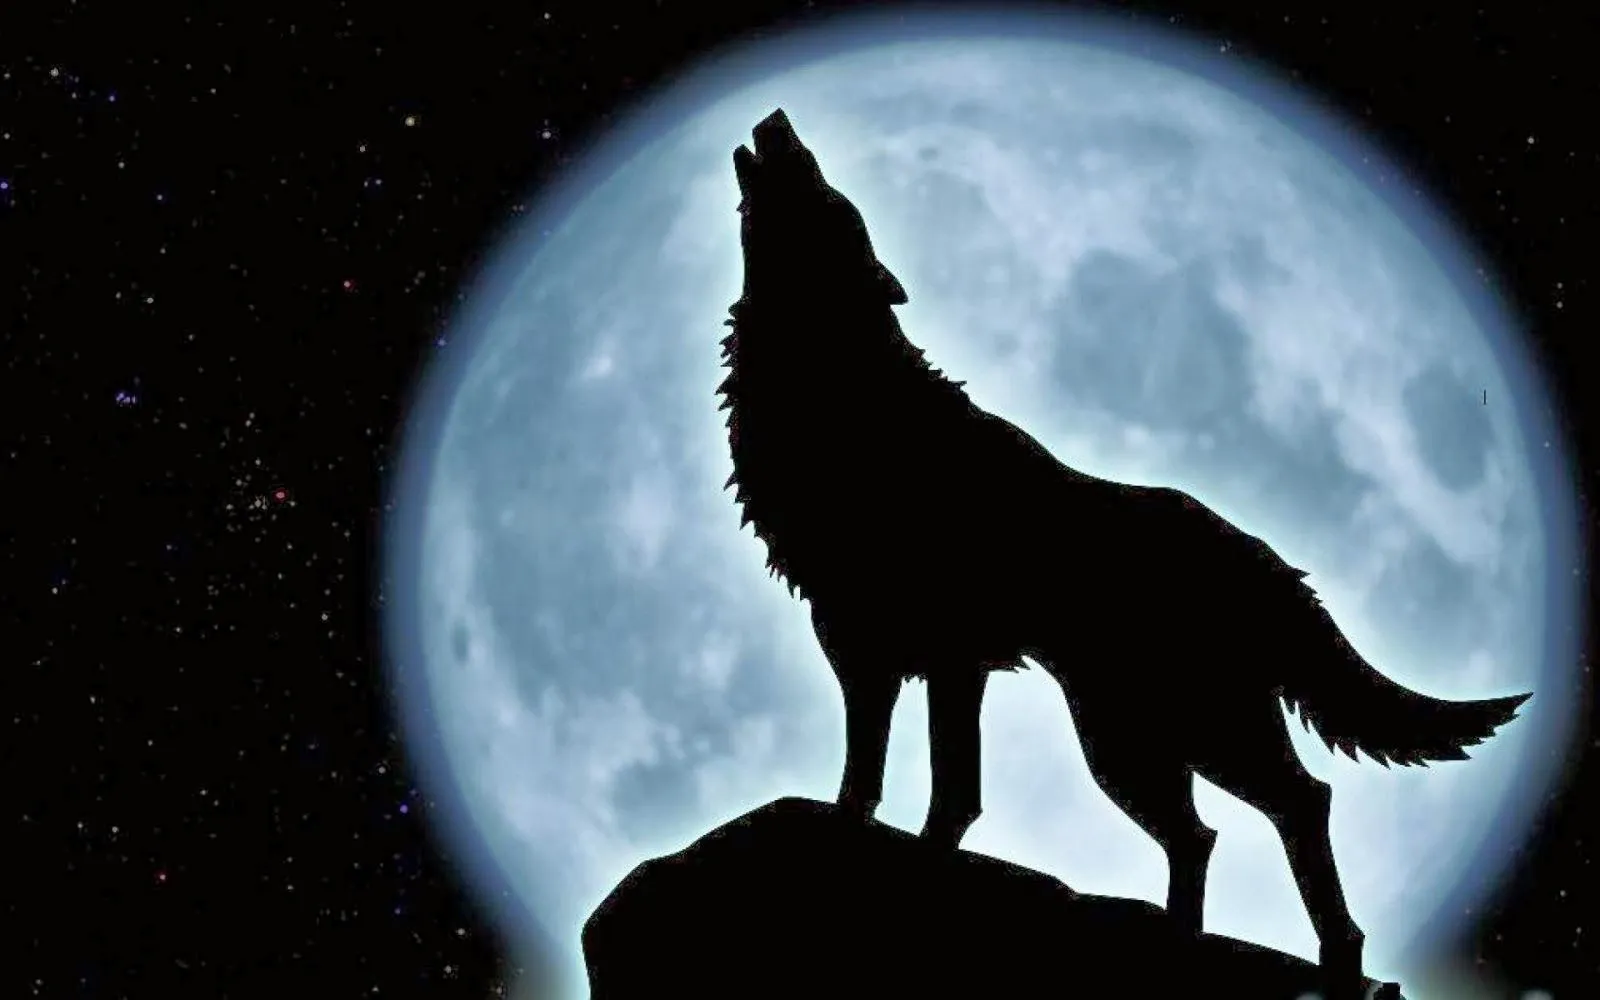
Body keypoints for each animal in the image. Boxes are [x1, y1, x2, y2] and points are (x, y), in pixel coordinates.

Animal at [719, 108, 1528, 996]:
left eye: (829, 196)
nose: (778, 119)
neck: (844, 393)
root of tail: (1263, 555)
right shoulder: (871, 651)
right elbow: (874, 781)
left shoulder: (942, 658)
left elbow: (944, 789)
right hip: (1131, 740)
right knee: (1202, 834)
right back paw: (1180, 941)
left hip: (1182, 729)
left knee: (1298, 801)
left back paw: (1334, 963)